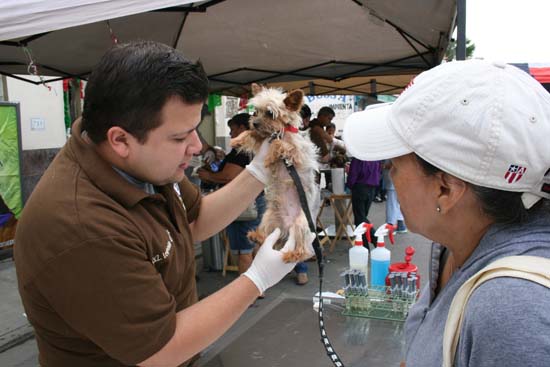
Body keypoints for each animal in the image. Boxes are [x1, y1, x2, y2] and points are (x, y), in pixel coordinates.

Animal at [232, 85, 320, 264]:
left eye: (270, 114)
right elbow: (253, 135)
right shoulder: (262, 138)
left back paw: (293, 254)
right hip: (269, 217)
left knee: (304, 249)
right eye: (255, 112)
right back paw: (257, 237)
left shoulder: (298, 154)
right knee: (268, 235)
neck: (281, 130)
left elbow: (281, 144)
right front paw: (238, 140)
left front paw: (270, 156)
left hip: (300, 224)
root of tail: (286, 227)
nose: (254, 123)